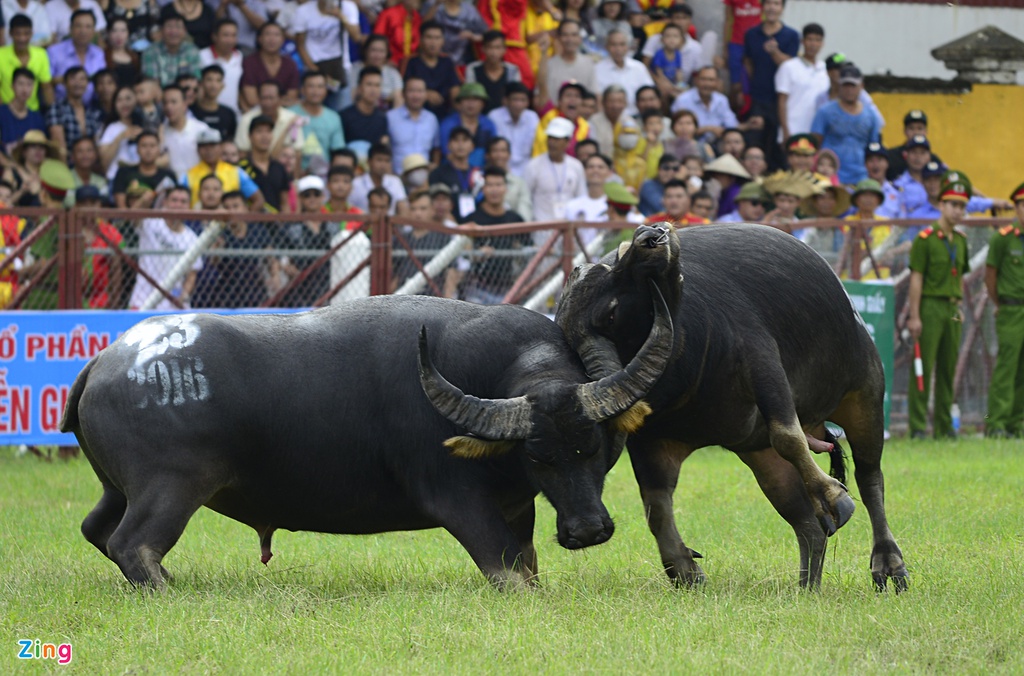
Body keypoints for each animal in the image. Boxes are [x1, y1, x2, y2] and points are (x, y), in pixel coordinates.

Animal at [61, 294, 671, 585]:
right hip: (172, 485)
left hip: (117, 489)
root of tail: (107, 360)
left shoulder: (519, 507)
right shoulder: (459, 502)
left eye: (596, 448)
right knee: (132, 543)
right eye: (539, 456)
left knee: (96, 528)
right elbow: (505, 569)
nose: (588, 530)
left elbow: (528, 565)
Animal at [557, 223, 909, 589]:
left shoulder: (763, 364)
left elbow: (788, 436)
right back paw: (807, 585)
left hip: (864, 393)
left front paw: (835, 498)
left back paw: (888, 563)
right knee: (808, 523)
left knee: (869, 478)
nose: (650, 234)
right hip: (762, 455)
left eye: (613, 265)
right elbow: (656, 506)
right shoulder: (649, 441)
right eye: (610, 313)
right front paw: (684, 568)